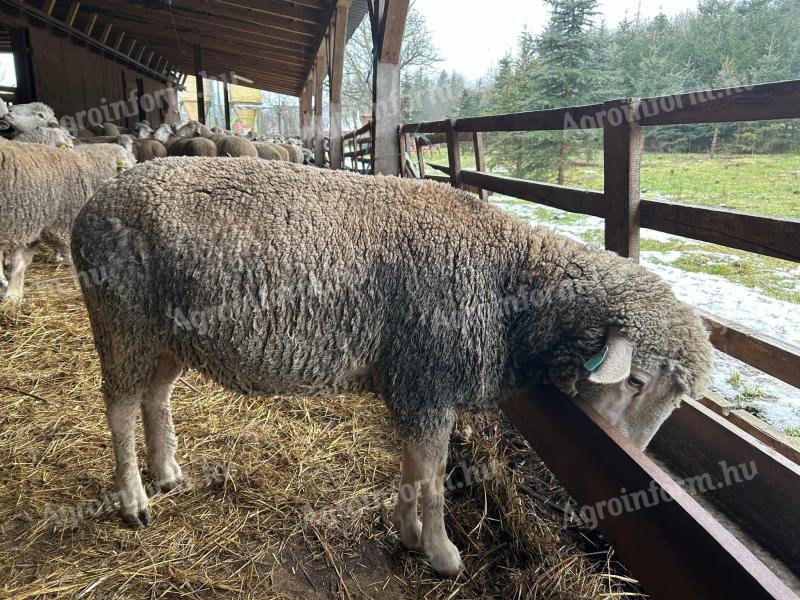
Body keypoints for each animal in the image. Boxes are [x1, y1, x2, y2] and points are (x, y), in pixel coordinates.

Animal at [73, 158, 712, 576]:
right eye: (635, 381)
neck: (509, 285)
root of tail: (94, 201)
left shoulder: (414, 382)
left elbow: (415, 466)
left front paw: (408, 533)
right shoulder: (428, 377)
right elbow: (433, 475)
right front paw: (442, 553)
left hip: (166, 337)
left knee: (154, 397)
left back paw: (167, 471)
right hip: (121, 320)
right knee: (120, 406)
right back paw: (134, 499)